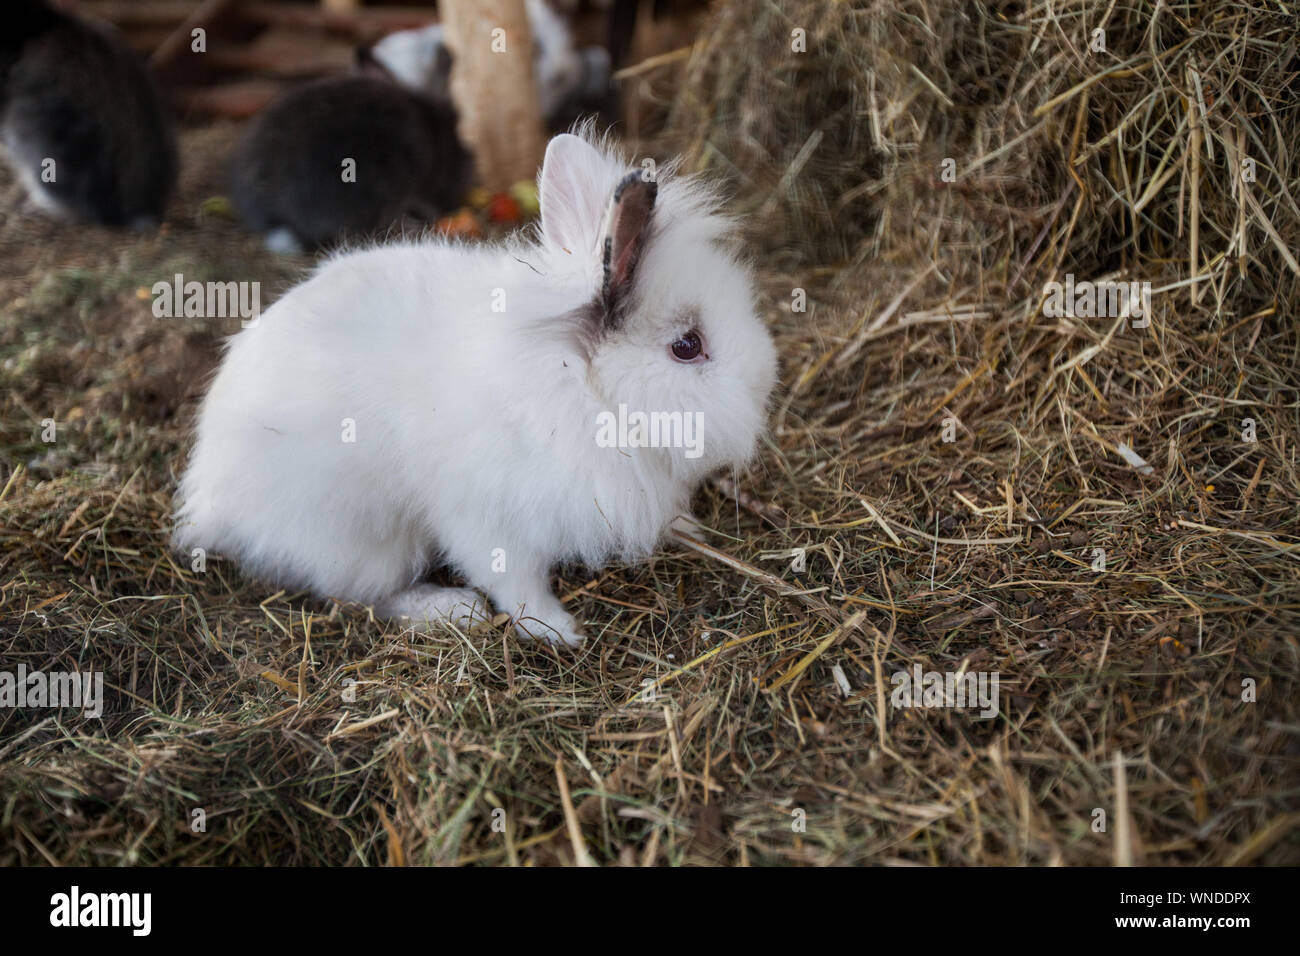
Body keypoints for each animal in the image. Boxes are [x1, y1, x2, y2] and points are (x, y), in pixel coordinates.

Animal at [174, 127, 778, 647]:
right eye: (687, 346)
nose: (766, 380)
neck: (580, 388)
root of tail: (209, 498)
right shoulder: (489, 519)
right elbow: (515, 581)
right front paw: (558, 631)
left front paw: (689, 527)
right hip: (361, 540)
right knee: (358, 594)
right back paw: (451, 610)